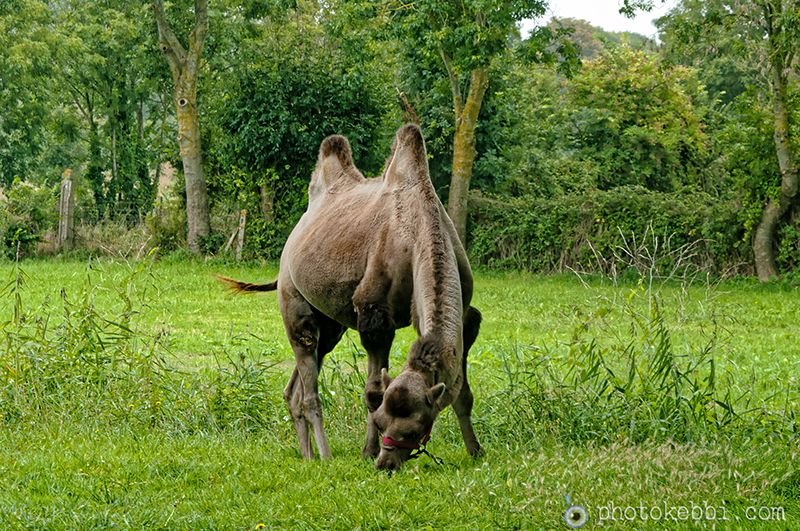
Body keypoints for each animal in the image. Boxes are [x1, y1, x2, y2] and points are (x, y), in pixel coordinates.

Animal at [221, 124, 482, 470]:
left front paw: (475, 450)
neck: (418, 231)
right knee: (308, 379)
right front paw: (367, 451)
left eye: (416, 428)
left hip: (331, 323)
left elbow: (462, 391)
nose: (386, 464)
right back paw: (323, 454)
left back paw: (306, 454)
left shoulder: (465, 316)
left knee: (297, 386)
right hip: (293, 299)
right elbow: (373, 391)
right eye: (383, 423)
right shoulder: (374, 312)